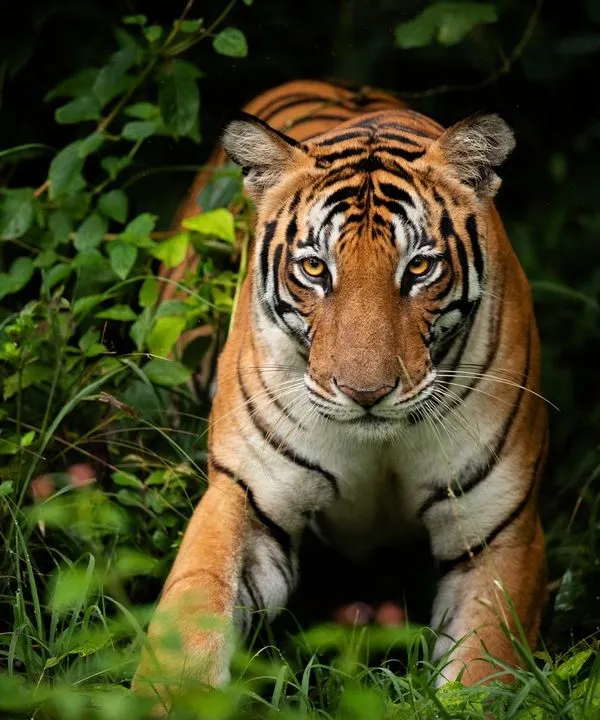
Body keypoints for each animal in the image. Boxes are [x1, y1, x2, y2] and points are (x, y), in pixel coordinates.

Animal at [133, 79, 548, 708]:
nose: (365, 392)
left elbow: (482, 671)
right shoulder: (246, 492)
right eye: (313, 268)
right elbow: (192, 612)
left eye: (419, 268)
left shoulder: (498, 530)